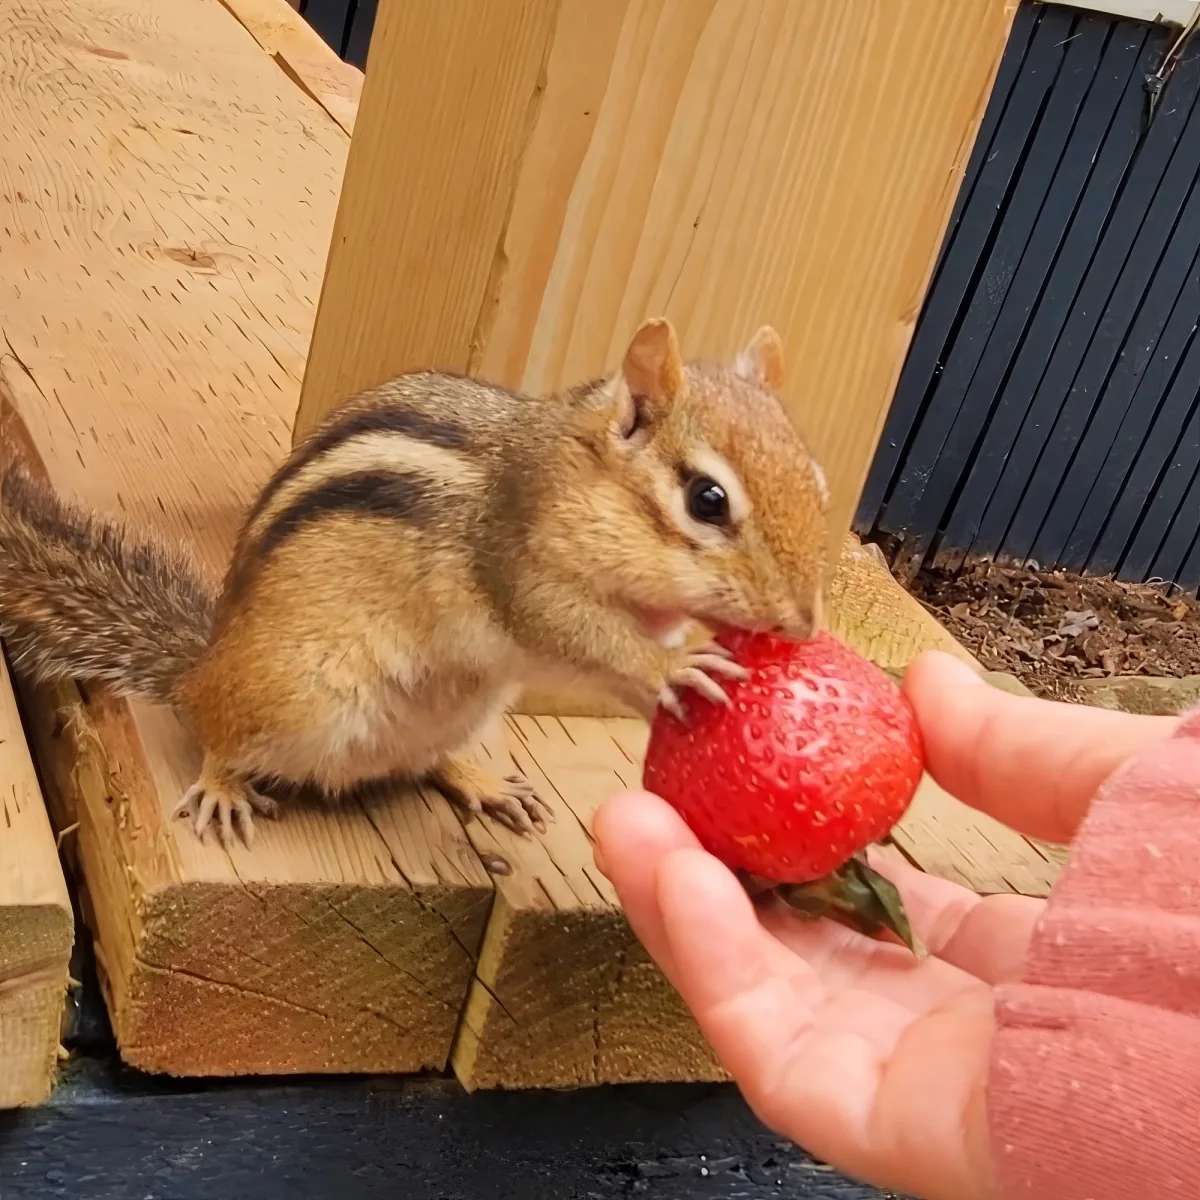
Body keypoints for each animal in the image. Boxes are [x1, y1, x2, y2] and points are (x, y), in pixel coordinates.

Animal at [0, 317, 829, 851]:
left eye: (816, 480)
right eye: (707, 499)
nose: (802, 622)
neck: (572, 475)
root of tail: (201, 665)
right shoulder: (519, 568)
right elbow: (581, 633)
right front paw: (677, 665)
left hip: (464, 707)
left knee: (430, 758)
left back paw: (484, 781)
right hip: (293, 695)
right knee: (219, 732)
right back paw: (224, 785)